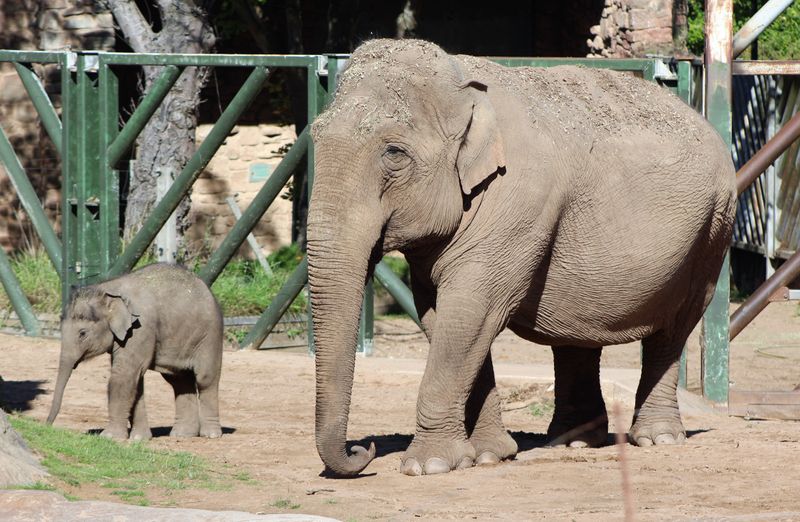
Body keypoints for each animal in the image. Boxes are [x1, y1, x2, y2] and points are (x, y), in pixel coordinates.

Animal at [47, 262, 223, 436]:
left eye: (82, 333)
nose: (47, 425)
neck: (107, 289)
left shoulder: (140, 328)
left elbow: (124, 375)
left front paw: (110, 437)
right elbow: (136, 381)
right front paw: (139, 438)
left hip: (209, 335)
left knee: (205, 378)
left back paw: (210, 434)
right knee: (179, 380)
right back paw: (182, 435)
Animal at [308, 38, 736, 474]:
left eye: (394, 152)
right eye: (315, 136)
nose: (361, 451)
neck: (461, 83)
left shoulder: (520, 199)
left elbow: (471, 310)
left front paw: (429, 466)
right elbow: (442, 315)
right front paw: (489, 455)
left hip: (712, 232)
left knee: (674, 329)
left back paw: (657, 438)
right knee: (579, 328)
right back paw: (573, 441)